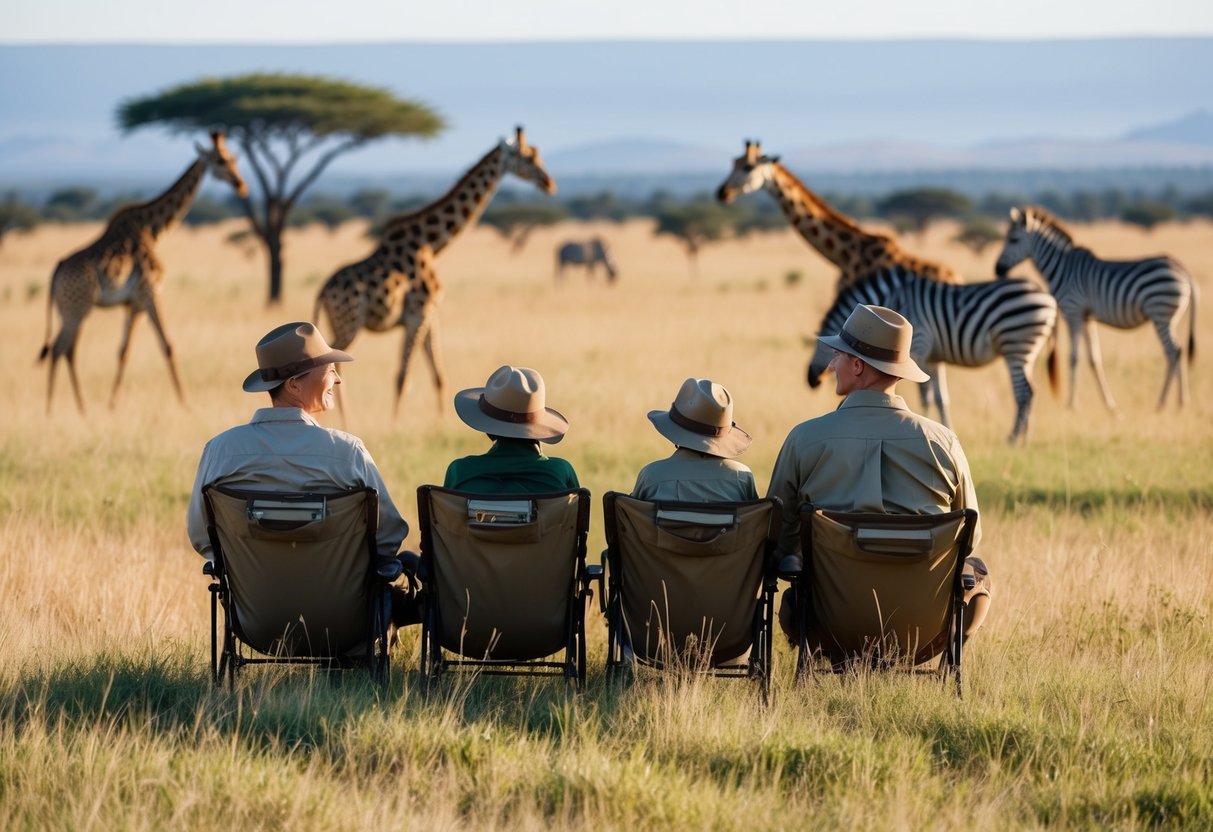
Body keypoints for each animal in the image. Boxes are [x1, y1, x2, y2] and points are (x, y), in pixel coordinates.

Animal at [37, 132, 247, 414]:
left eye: (234, 158)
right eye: (221, 160)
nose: (241, 185)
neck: (153, 229)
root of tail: (56, 270)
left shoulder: (133, 303)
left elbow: (124, 351)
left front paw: (112, 405)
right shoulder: (150, 294)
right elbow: (168, 346)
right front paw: (186, 404)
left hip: (69, 310)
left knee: (68, 351)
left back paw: (81, 408)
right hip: (76, 310)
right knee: (58, 349)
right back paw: (51, 411)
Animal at [312, 125, 557, 417]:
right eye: (529, 158)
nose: (549, 183)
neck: (432, 245)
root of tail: (323, 291)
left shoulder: (431, 313)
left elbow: (439, 376)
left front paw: (441, 420)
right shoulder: (417, 314)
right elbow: (402, 378)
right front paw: (396, 423)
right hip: (350, 323)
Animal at [805, 270, 1062, 446]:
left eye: (825, 349)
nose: (810, 380)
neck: (896, 299)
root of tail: (1046, 295)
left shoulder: (919, 347)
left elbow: (926, 396)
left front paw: (920, 422)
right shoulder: (933, 358)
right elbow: (940, 398)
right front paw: (944, 427)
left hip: (1016, 343)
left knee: (1024, 390)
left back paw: (1014, 437)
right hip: (1027, 349)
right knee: (1031, 389)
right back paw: (1026, 435)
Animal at [994, 203, 1193, 409]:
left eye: (1013, 240)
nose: (997, 269)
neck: (1061, 267)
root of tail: (1184, 272)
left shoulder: (1072, 311)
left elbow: (1073, 358)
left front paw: (1072, 405)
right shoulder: (1087, 317)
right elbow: (1094, 359)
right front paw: (1109, 404)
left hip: (1160, 313)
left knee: (1174, 351)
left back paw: (1171, 402)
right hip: (1168, 317)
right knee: (1176, 351)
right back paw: (1176, 401)